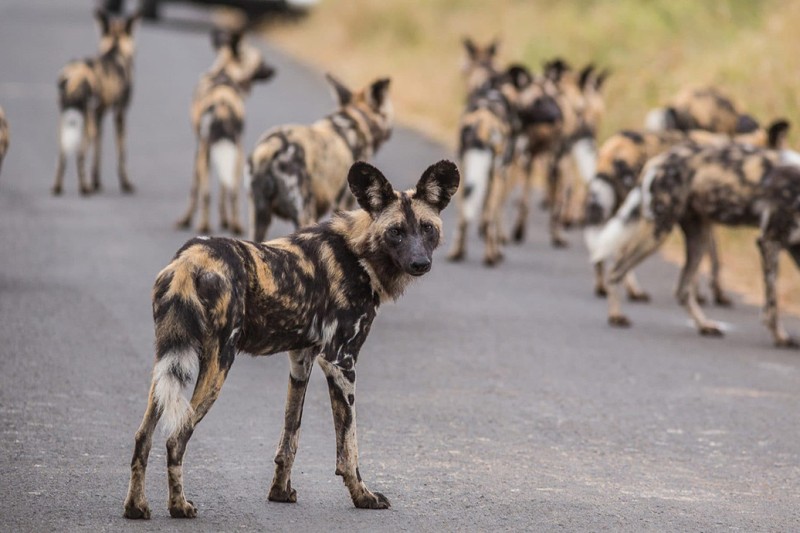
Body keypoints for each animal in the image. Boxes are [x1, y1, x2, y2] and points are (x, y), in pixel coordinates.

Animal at [52, 8, 140, 195]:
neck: (115, 49)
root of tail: (75, 75)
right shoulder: (119, 113)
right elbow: (122, 152)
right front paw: (125, 184)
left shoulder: (99, 114)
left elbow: (98, 152)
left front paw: (96, 182)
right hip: (86, 123)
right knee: (80, 153)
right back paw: (84, 188)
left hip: (68, 117)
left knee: (62, 153)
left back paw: (58, 187)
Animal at [122, 160, 460, 516]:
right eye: (396, 231)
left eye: (427, 228)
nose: (420, 263)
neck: (360, 253)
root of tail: (190, 260)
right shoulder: (340, 362)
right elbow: (348, 447)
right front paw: (363, 496)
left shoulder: (302, 360)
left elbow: (290, 436)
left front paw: (280, 492)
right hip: (218, 363)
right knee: (177, 437)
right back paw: (179, 507)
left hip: (166, 364)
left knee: (143, 436)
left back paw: (136, 506)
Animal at [175, 30, 276, 234]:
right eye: (262, 61)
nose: (274, 70)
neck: (225, 73)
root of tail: (222, 104)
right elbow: (223, 187)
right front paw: (224, 220)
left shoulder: (201, 147)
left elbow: (195, 189)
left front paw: (186, 220)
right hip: (238, 153)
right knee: (233, 191)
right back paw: (235, 225)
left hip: (207, 152)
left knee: (206, 193)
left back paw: (204, 225)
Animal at [588, 130, 800, 344]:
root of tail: (658, 160)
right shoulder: (770, 241)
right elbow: (772, 302)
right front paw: (780, 336)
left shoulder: (793, 246)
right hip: (659, 231)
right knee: (616, 270)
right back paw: (616, 315)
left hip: (698, 237)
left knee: (682, 290)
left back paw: (704, 325)